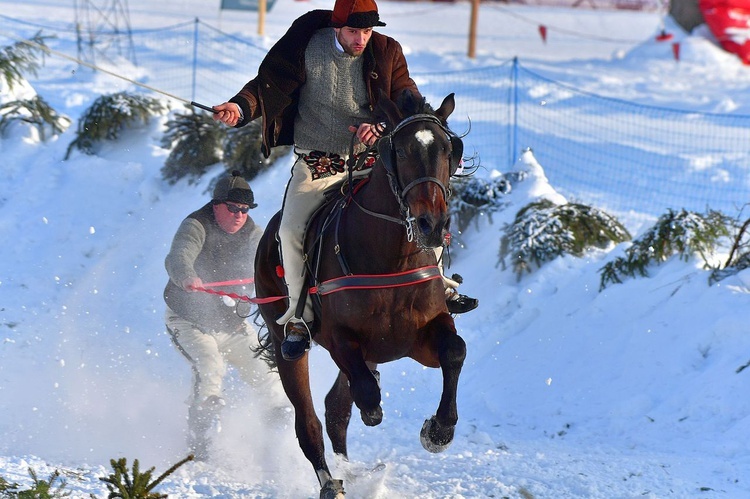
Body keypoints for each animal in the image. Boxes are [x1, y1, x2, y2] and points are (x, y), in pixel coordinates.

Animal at [256, 92, 468, 498]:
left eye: (450, 150)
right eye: (399, 150)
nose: (432, 225)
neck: (389, 258)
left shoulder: (420, 338)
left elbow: (454, 350)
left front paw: (439, 430)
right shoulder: (342, 340)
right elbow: (366, 393)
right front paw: (374, 410)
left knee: (335, 410)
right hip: (284, 341)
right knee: (309, 420)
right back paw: (331, 481)